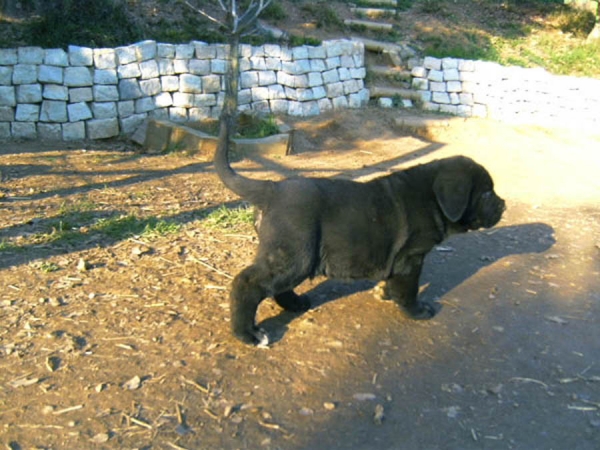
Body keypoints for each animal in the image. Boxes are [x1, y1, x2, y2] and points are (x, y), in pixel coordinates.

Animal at [213, 125, 504, 344]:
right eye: (486, 194)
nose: (503, 206)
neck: (431, 196)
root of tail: (271, 190)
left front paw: (384, 292)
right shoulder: (411, 258)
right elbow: (408, 290)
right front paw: (418, 311)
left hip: (294, 257)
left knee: (278, 286)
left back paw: (295, 303)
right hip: (294, 253)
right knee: (247, 282)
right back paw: (248, 334)